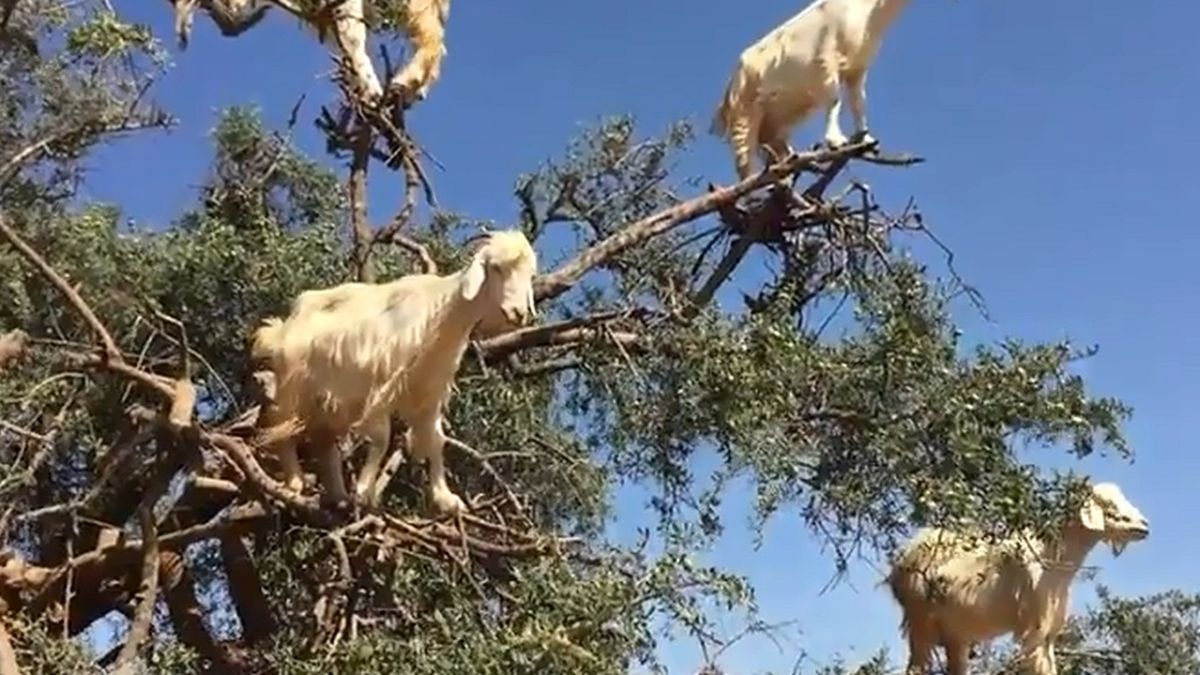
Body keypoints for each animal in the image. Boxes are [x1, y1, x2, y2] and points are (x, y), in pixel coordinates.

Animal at [250, 228, 537, 511]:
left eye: (529, 275)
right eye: (496, 268)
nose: (518, 313)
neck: (441, 311)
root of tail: (283, 325)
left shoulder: (429, 392)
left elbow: (436, 440)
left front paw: (446, 498)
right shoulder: (382, 383)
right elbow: (381, 437)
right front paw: (365, 491)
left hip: (330, 401)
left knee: (325, 444)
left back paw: (337, 495)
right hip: (292, 386)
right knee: (279, 427)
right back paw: (295, 481)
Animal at [710, 0, 916, 180]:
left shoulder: (858, 68)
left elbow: (858, 102)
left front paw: (867, 140)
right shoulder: (826, 57)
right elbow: (834, 99)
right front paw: (836, 141)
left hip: (771, 123)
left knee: (774, 148)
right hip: (744, 111)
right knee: (744, 159)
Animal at [888, 478, 1147, 672]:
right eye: (1108, 505)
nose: (1143, 525)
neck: (1052, 555)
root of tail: (902, 558)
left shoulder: (1049, 631)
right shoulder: (1033, 628)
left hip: (955, 632)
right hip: (920, 619)